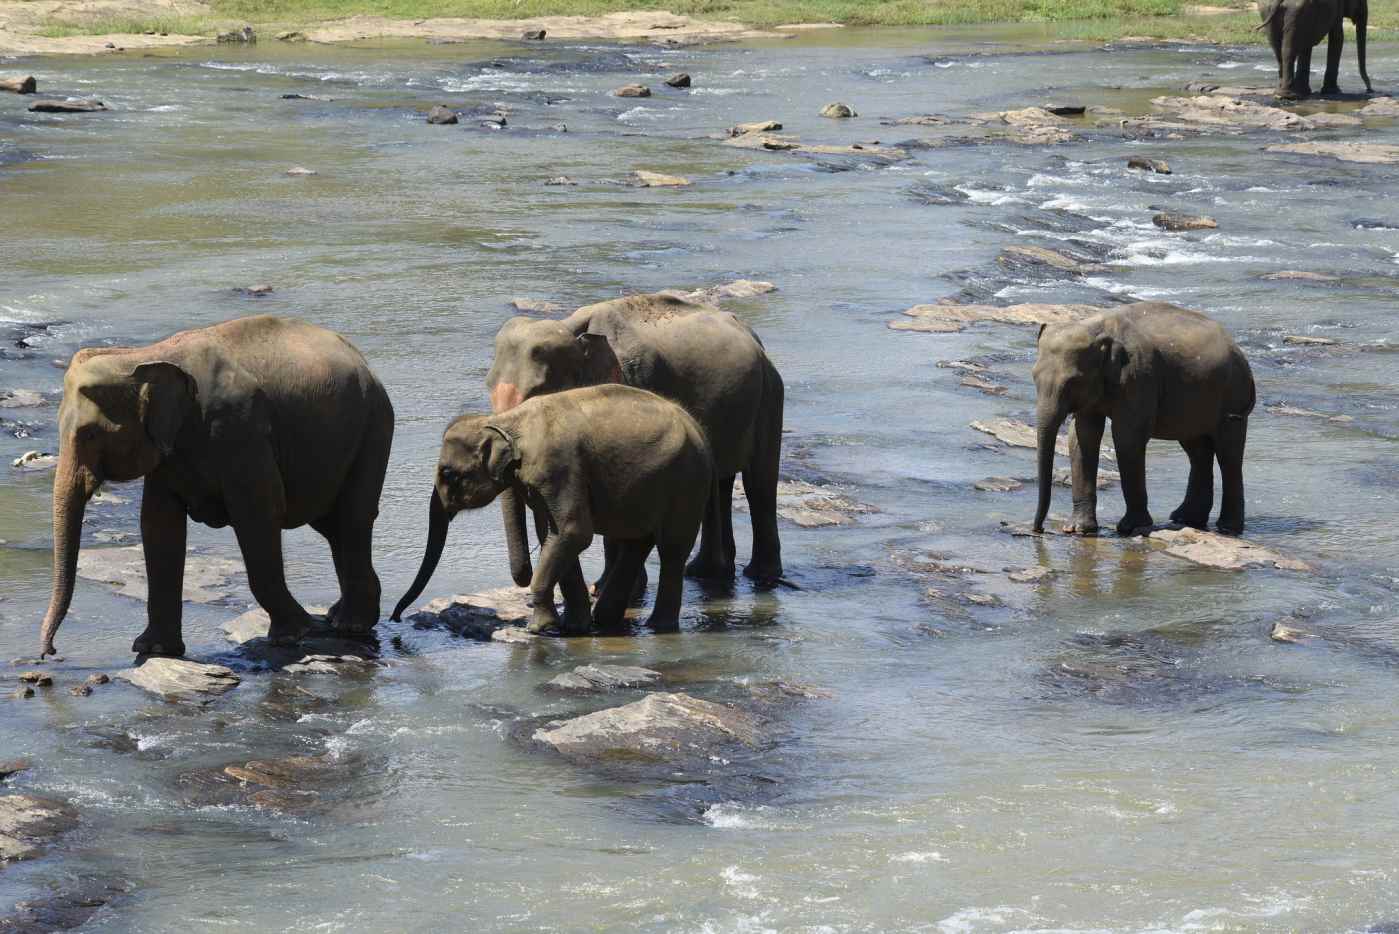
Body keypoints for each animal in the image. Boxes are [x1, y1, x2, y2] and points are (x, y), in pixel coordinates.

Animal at [38, 315, 394, 658]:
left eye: (88, 434)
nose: (50, 652)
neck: (146, 355)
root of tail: (364, 363)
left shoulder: (240, 429)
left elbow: (259, 514)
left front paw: (294, 633)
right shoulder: (168, 447)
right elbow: (158, 524)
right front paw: (154, 649)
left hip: (374, 426)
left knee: (352, 518)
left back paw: (350, 624)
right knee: (333, 524)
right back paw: (340, 617)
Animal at [391, 384, 712, 634]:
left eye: (447, 473)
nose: (395, 617)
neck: (506, 421)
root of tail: (695, 425)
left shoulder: (558, 467)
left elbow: (573, 532)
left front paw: (538, 629)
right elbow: (552, 534)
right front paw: (572, 627)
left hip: (688, 480)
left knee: (671, 549)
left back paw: (658, 626)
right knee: (637, 543)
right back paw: (605, 621)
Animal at [485, 292, 783, 594]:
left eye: (537, 392)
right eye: (488, 387)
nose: (525, 578)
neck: (572, 327)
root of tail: (753, 336)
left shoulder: (634, 378)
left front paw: (608, 589)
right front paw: (605, 587)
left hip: (770, 394)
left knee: (759, 481)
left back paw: (762, 576)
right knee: (721, 483)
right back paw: (707, 573)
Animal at [1031, 303, 1256, 538]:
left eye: (1073, 382)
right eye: (1033, 376)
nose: (1038, 530)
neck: (1096, 326)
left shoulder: (1138, 377)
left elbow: (1127, 439)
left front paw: (1131, 527)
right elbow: (1082, 437)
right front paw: (1078, 529)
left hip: (1232, 395)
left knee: (1228, 454)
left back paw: (1227, 528)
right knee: (1198, 451)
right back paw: (1186, 519)